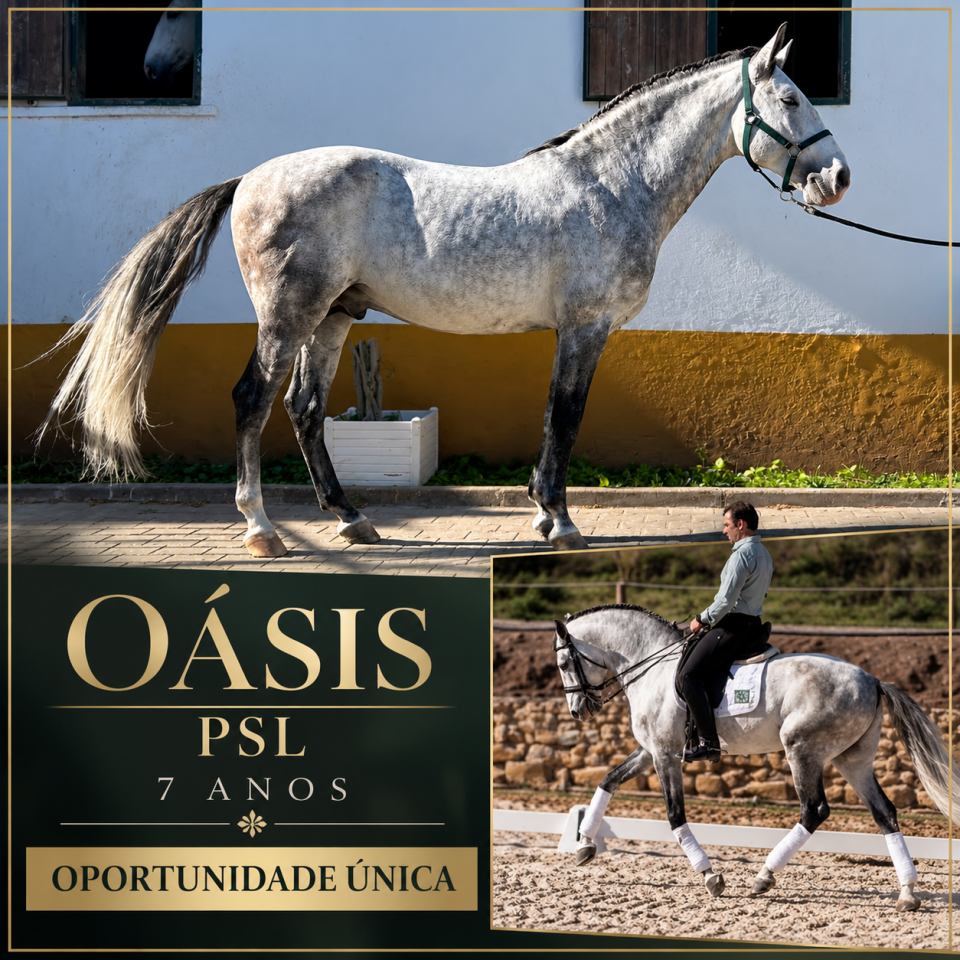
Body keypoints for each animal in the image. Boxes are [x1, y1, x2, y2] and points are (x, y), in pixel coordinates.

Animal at [41, 25, 849, 559]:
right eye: (789, 98)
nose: (837, 178)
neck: (612, 184)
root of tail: (249, 179)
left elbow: (553, 417)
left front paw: (541, 513)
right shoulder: (585, 328)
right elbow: (566, 417)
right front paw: (560, 522)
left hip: (333, 317)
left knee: (303, 409)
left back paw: (352, 519)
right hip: (289, 314)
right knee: (253, 400)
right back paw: (263, 529)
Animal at [554, 605, 959, 911]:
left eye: (563, 664)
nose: (577, 711)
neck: (650, 667)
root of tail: (873, 680)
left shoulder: (665, 756)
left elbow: (674, 817)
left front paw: (711, 876)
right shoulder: (652, 750)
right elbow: (608, 779)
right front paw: (585, 844)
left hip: (802, 750)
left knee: (814, 810)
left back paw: (764, 876)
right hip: (851, 760)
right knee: (884, 812)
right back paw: (907, 892)